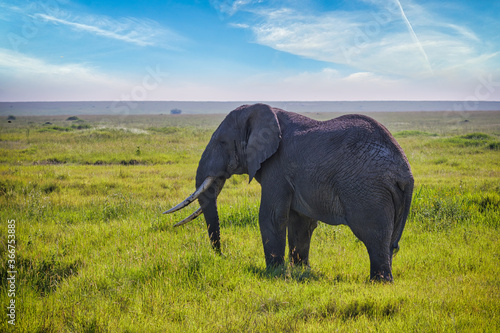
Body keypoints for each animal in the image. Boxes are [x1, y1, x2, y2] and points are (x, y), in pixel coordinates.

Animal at [165, 103, 414, 280]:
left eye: (222, 142)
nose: (222, 256)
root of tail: (405, 172)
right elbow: (301, 222)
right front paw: (301, 272)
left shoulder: (277, 166)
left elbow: (271, 216)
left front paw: (274, 274)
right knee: (388, 241)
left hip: (368, 192)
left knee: (373, 235)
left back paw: (378, 283)